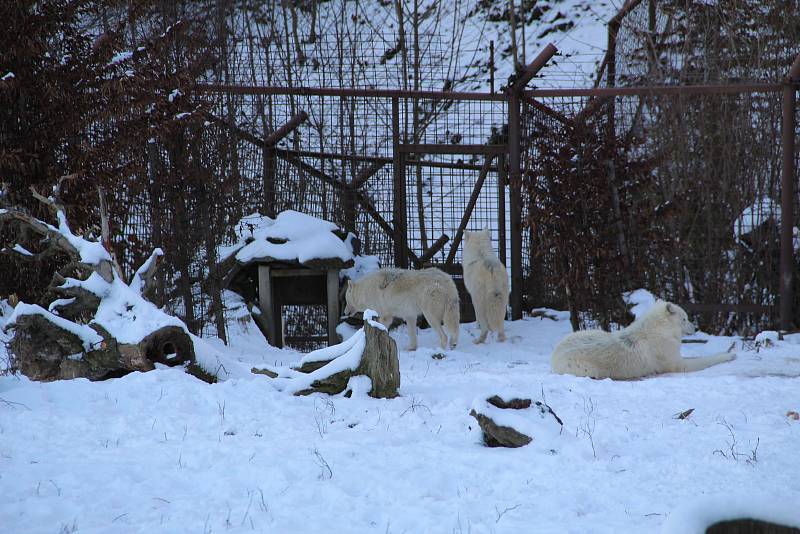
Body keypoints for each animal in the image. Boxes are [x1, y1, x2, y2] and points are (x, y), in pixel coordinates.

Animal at [552, 302, 736, 382]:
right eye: (685, 319)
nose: (696, 328)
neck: (660, 330)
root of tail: (553, 356)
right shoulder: (678, 365)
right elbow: (707, 359)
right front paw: (729, 355)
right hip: (589, 369)